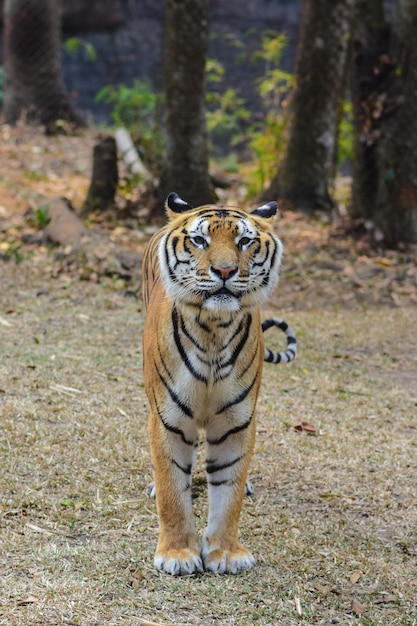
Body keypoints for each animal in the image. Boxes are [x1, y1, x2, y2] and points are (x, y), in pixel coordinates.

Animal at [142, 191, 296, 576]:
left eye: (245, 241)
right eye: (200, 240)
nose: (225, 271)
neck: (214, 327)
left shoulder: (235, 422)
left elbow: (229, 490)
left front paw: (226, 552)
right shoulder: (168, 418)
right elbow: (172, 490)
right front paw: (178, 553)